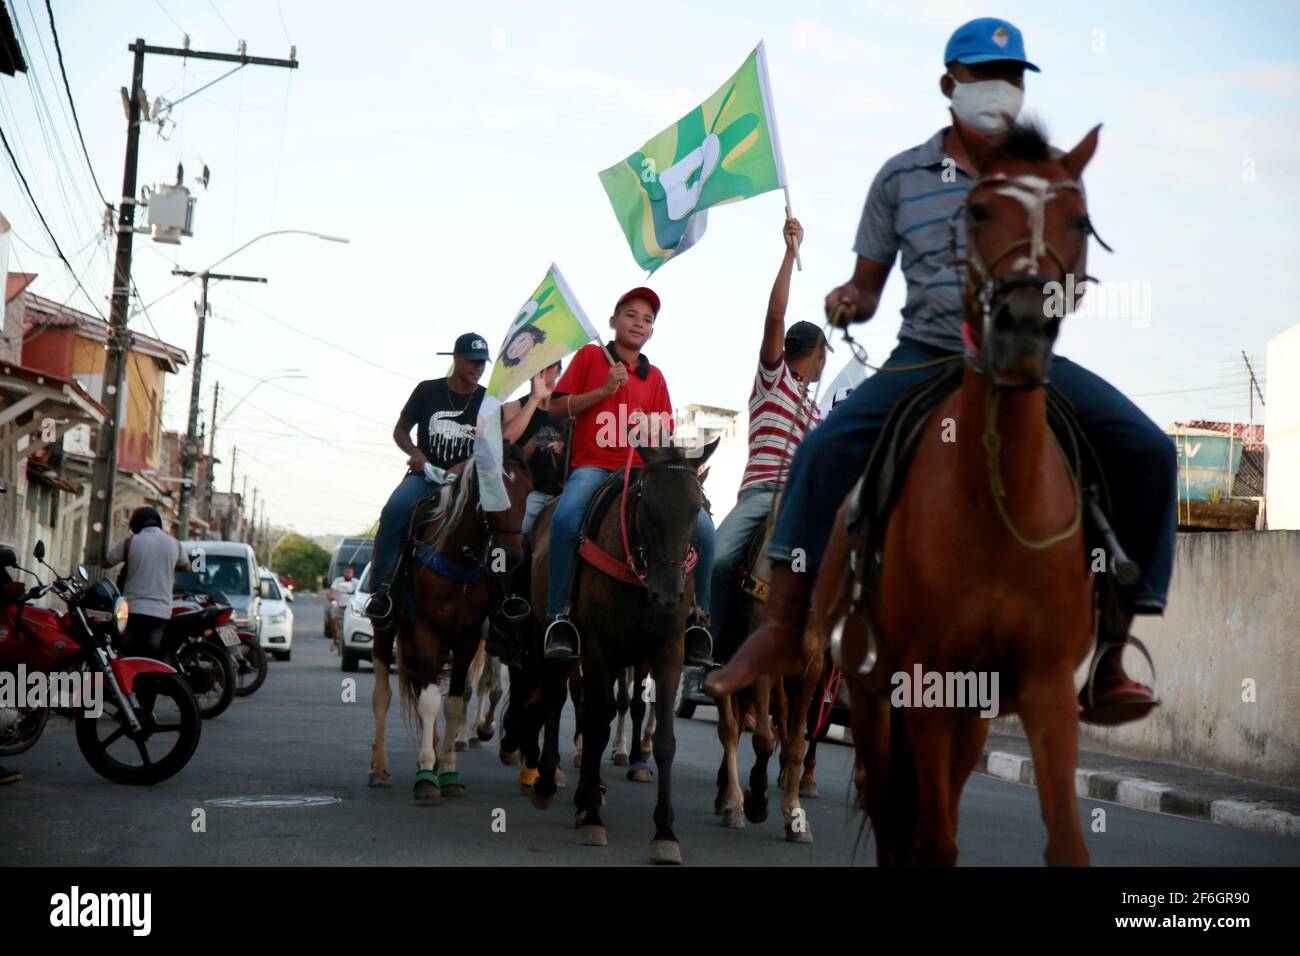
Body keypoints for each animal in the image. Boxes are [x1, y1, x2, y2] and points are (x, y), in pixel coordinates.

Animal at [369, 452, 530, 806]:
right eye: (490, 488)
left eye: (528, 489)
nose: (512, 555)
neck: (458, 557)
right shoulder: (426, 631)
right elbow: (431, 701)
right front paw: (427, 778)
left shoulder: (467, 638)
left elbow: (454, 701)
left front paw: (449, 773)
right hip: (386, 631)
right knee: (382, 696)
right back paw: (380, 769)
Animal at [522, 442, 717, 868]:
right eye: (648, 507)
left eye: (696, 508)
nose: (668, 594)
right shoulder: (597, 649)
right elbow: (594, 725)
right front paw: (593, 816)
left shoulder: (667, 653)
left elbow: (663, 740)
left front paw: (665, 832)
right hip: (554, 640)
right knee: (554, 699)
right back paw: (547, 781)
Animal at [816, 119, 1102, 868]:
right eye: (976, 211)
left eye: (1079, 219)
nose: (1021, 328)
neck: (997, 503)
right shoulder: (924, 679)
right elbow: (931, 840)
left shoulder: (1043, 681)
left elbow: (1066, 842)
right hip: (872, 692)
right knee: (891, 811)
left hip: (971, 708)